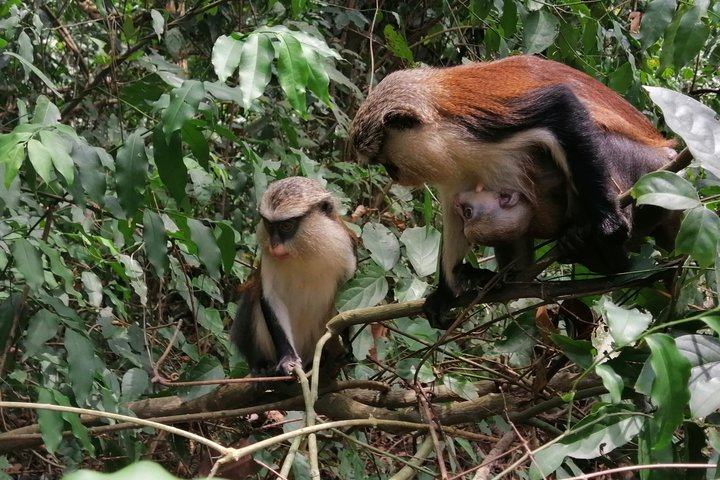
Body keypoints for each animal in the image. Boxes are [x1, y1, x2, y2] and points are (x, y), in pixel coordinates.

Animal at [231, 176, 358, 376]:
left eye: (286, 226)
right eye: (269, 225)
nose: (274, 245)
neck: (305, 252)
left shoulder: (346, 248)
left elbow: (345, 303)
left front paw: (345, 347)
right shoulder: (268, 258)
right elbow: (269, 297)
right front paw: (287, 359)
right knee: (250, 300)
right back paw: (261, 364)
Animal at [347, 55, 675, 327]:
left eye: (387, 162)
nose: (393, 174)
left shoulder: (481, 125)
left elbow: (562, 106)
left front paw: (608, 222)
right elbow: (454, 208)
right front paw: (446, 292)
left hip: (647, 170)